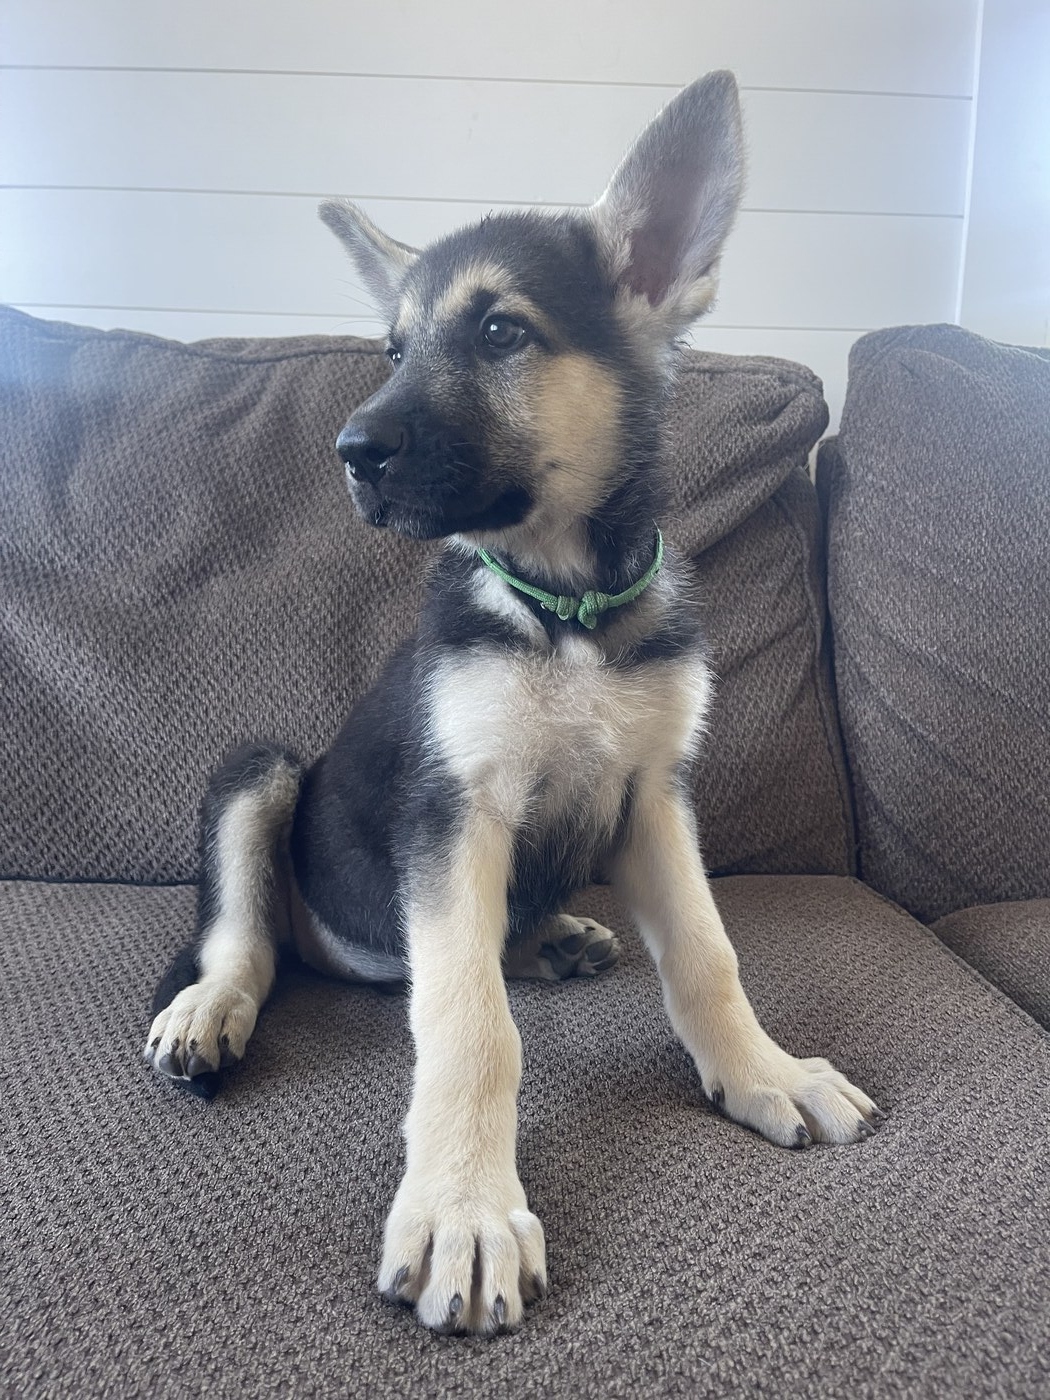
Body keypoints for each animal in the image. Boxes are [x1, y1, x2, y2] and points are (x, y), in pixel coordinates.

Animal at [144, 70, 881, 1336]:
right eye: (392, 347)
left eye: (500, 331)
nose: (351, 449)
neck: (568, 610)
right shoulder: (458, 812)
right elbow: (469, 1023)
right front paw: (464, 1209)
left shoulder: (653, 798)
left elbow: (708, 952)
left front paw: (765, 1070)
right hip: (261, 768)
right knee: (251, 934)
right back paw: (212, 1007)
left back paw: (553, 937)